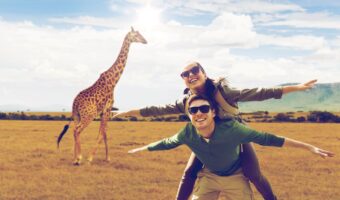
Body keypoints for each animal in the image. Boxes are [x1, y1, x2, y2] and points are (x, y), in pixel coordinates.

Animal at [56, 27, 147, 165]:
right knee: (77, 130)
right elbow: (102, 133)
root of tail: (75, 103)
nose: (145, 41)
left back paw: (75, 158)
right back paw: (79, 158)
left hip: (77, 115)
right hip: (88, 116)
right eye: (136, 35)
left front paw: (107, 158)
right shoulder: (107, 109)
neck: (113, 81)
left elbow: (103, 133)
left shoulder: (103, 112)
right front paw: (91, 158)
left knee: (74, 130)